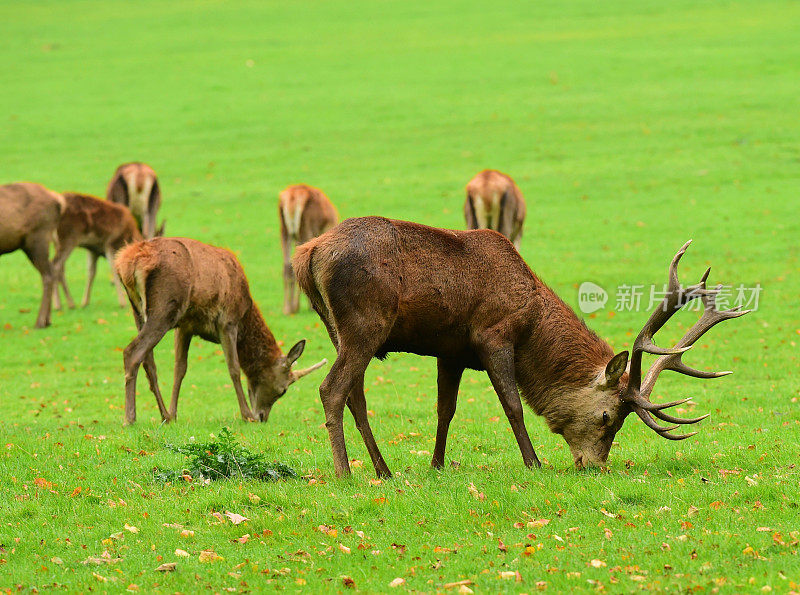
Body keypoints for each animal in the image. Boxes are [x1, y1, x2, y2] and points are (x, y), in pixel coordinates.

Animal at [0, 183, 64, 328]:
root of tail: (58, 200)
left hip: (37, 238)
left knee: (47, 275)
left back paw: (39, 322)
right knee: (52, 269)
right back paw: (47, 320)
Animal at [114, 235, 326, 426]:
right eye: (283, 390)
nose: (262, 417)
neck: (245, 315)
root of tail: (127, 263)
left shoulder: (185, 326)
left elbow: (179, 369)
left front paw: (173, 414)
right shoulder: (228, 321)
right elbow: (234, 368)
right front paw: (246, 414)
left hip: (139, 311)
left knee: (148, 361)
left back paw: (163, 414)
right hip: (166, 307)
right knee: (132, 352)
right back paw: (129, 418)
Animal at [278, 185, 338, 316]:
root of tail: (292, 197)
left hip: (284, 230)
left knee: (287, 267)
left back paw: (288, 308)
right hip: (306, 227)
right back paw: (298, 306)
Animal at [296, 218, 752, 480]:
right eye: (608, 417)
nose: (593, 466)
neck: (531, 318)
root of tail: (309, 252)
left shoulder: (451, 350)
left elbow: (446, 410)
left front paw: (437, 465)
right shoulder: (492, 335)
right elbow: (513, 405)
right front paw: (534, 463)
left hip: (337, 326)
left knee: (355, 395)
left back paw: (383, 470)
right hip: (364, 322)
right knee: (331, 388)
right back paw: (343, 473)